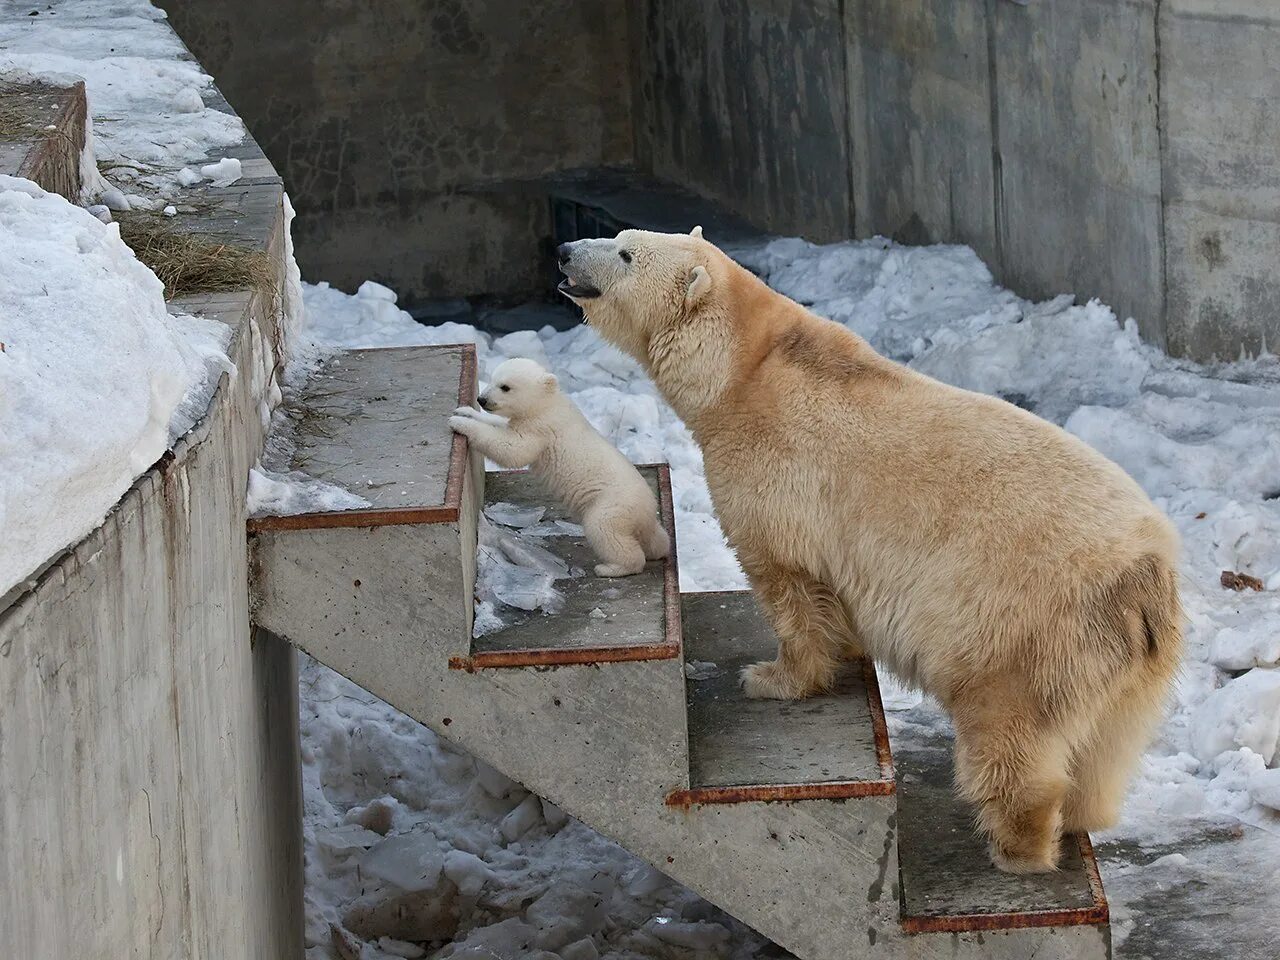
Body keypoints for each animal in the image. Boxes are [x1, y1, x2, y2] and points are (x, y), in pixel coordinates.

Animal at [555, 229, 1182, 875]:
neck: (742, 368)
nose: (565, 250)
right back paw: (1085, 813)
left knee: (1010, 727)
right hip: (1132, 658)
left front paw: (770, 678)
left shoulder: (775, 476)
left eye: (626, 253)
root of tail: (1142, 574)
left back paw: (1016, 847)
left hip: (1020, 624)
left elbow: (789, 586)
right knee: (1111, 740)